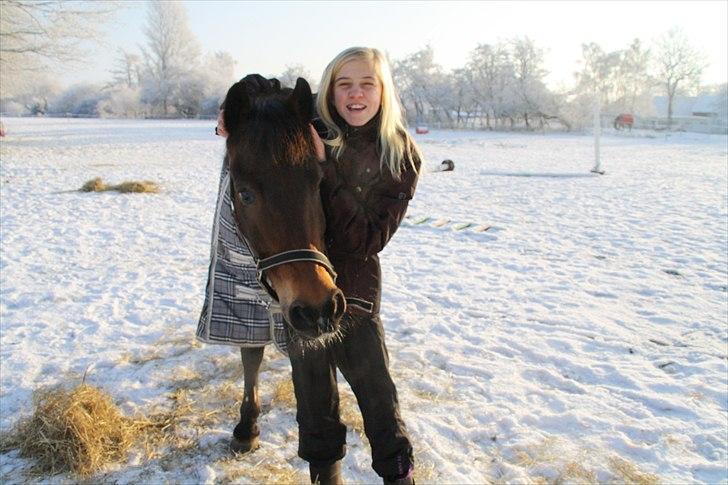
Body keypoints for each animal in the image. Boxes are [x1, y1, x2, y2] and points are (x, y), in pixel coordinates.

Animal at [221, 77, 348, 462]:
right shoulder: (240, 297)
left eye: (317, 182)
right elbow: (250, 356)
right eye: (245, 194)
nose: (319, 308)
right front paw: (246, 427)